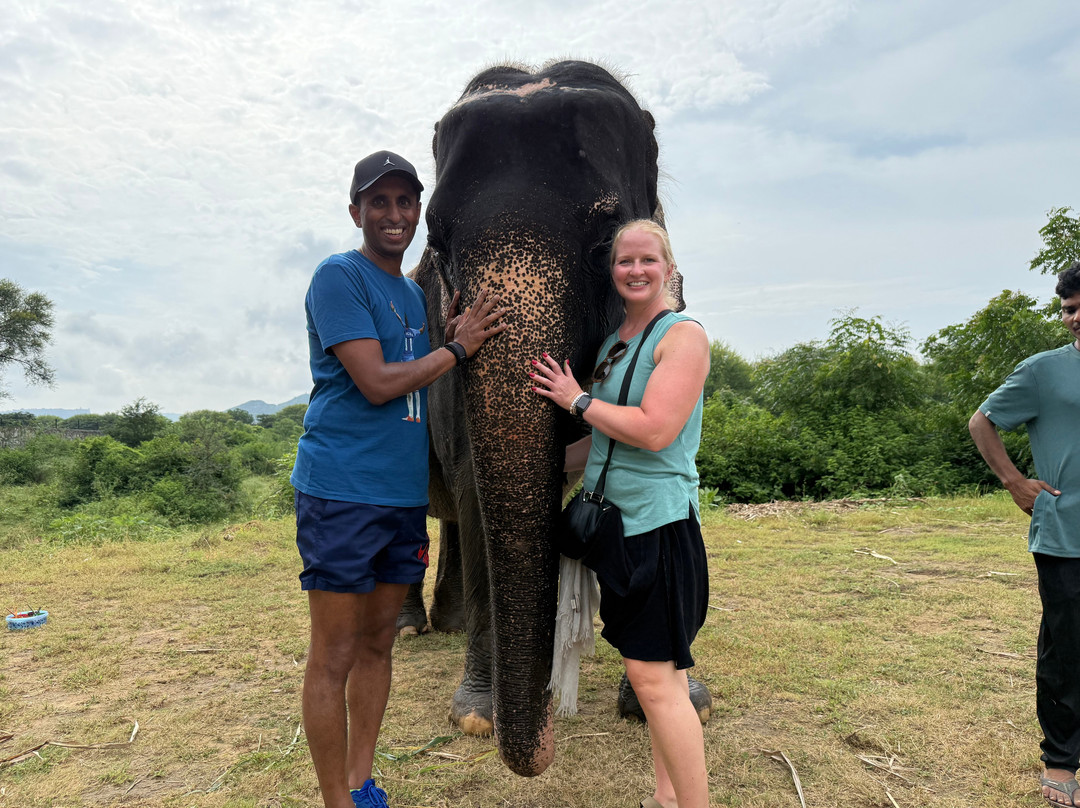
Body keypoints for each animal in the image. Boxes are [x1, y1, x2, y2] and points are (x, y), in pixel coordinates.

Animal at [403, 60, 707, 777]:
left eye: (606, 239)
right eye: (437, 242)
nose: (543, 737)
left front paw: (677, 699)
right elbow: (473, 484)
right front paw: (475, 717)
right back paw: (417, 629)